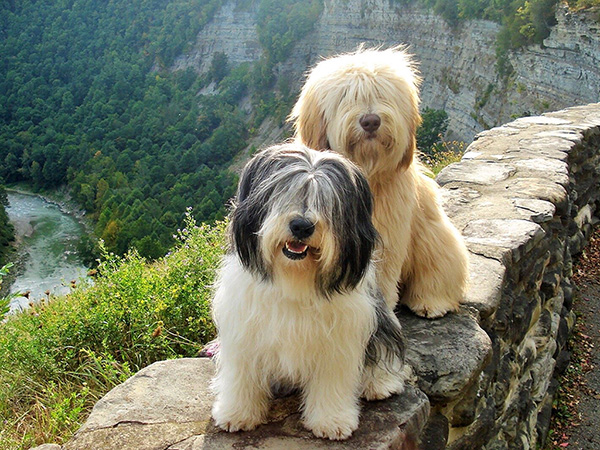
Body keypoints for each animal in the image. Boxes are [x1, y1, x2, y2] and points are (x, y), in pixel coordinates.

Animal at [211, 143, 408, 440]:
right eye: (285, 192)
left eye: (326, 202)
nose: (302, 226)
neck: (294, 280)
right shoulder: (244, 333)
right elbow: (242, 376)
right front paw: (237, 413)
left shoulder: (338, 342)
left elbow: (331, 382)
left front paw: (332, 420)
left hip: (380, 319)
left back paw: (379, 383)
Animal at [290, 47, 468, 318]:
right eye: (346, 96)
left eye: (382, 94)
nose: (371, 121)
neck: (366, 171)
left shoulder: (388, 237)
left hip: (436, 238)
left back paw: (431, 302)